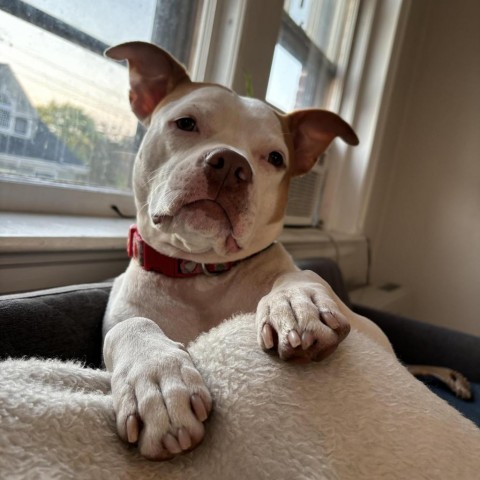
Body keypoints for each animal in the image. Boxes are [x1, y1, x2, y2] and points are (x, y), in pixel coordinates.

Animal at [103, 41, 396, 462]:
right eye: (186, 123)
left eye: (275, 158)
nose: (230, 164)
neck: (201, 272)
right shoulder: (125, 314)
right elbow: (131, 325)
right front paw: (157, 381)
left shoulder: (378, 338)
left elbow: (299, 273)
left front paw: (296, 304)